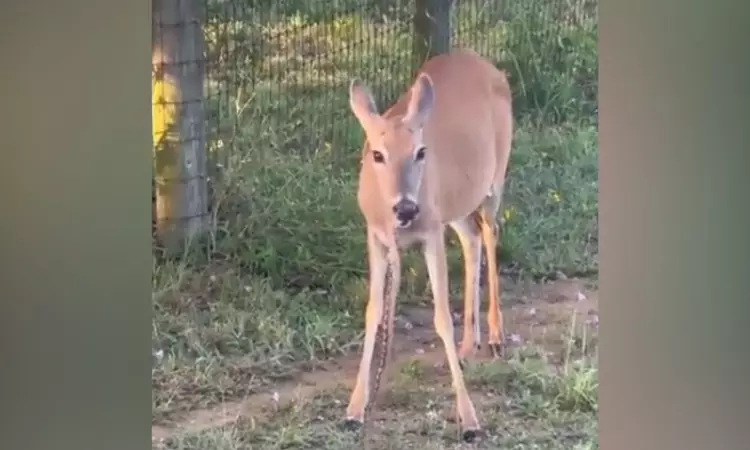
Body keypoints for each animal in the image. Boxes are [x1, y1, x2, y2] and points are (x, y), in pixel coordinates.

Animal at [342, 49, 513, 442]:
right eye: (377, 154)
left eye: (421, 152)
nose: (407, 208)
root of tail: (487, 64)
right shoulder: (376, 236)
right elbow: (374, 311)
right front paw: (357, 406)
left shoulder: (431, 232)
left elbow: (441, 317)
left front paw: (469, 420)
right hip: (457, 204)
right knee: (471, 238)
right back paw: (468, 345)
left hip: (494, 178)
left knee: (491, 232)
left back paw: (495, 336)